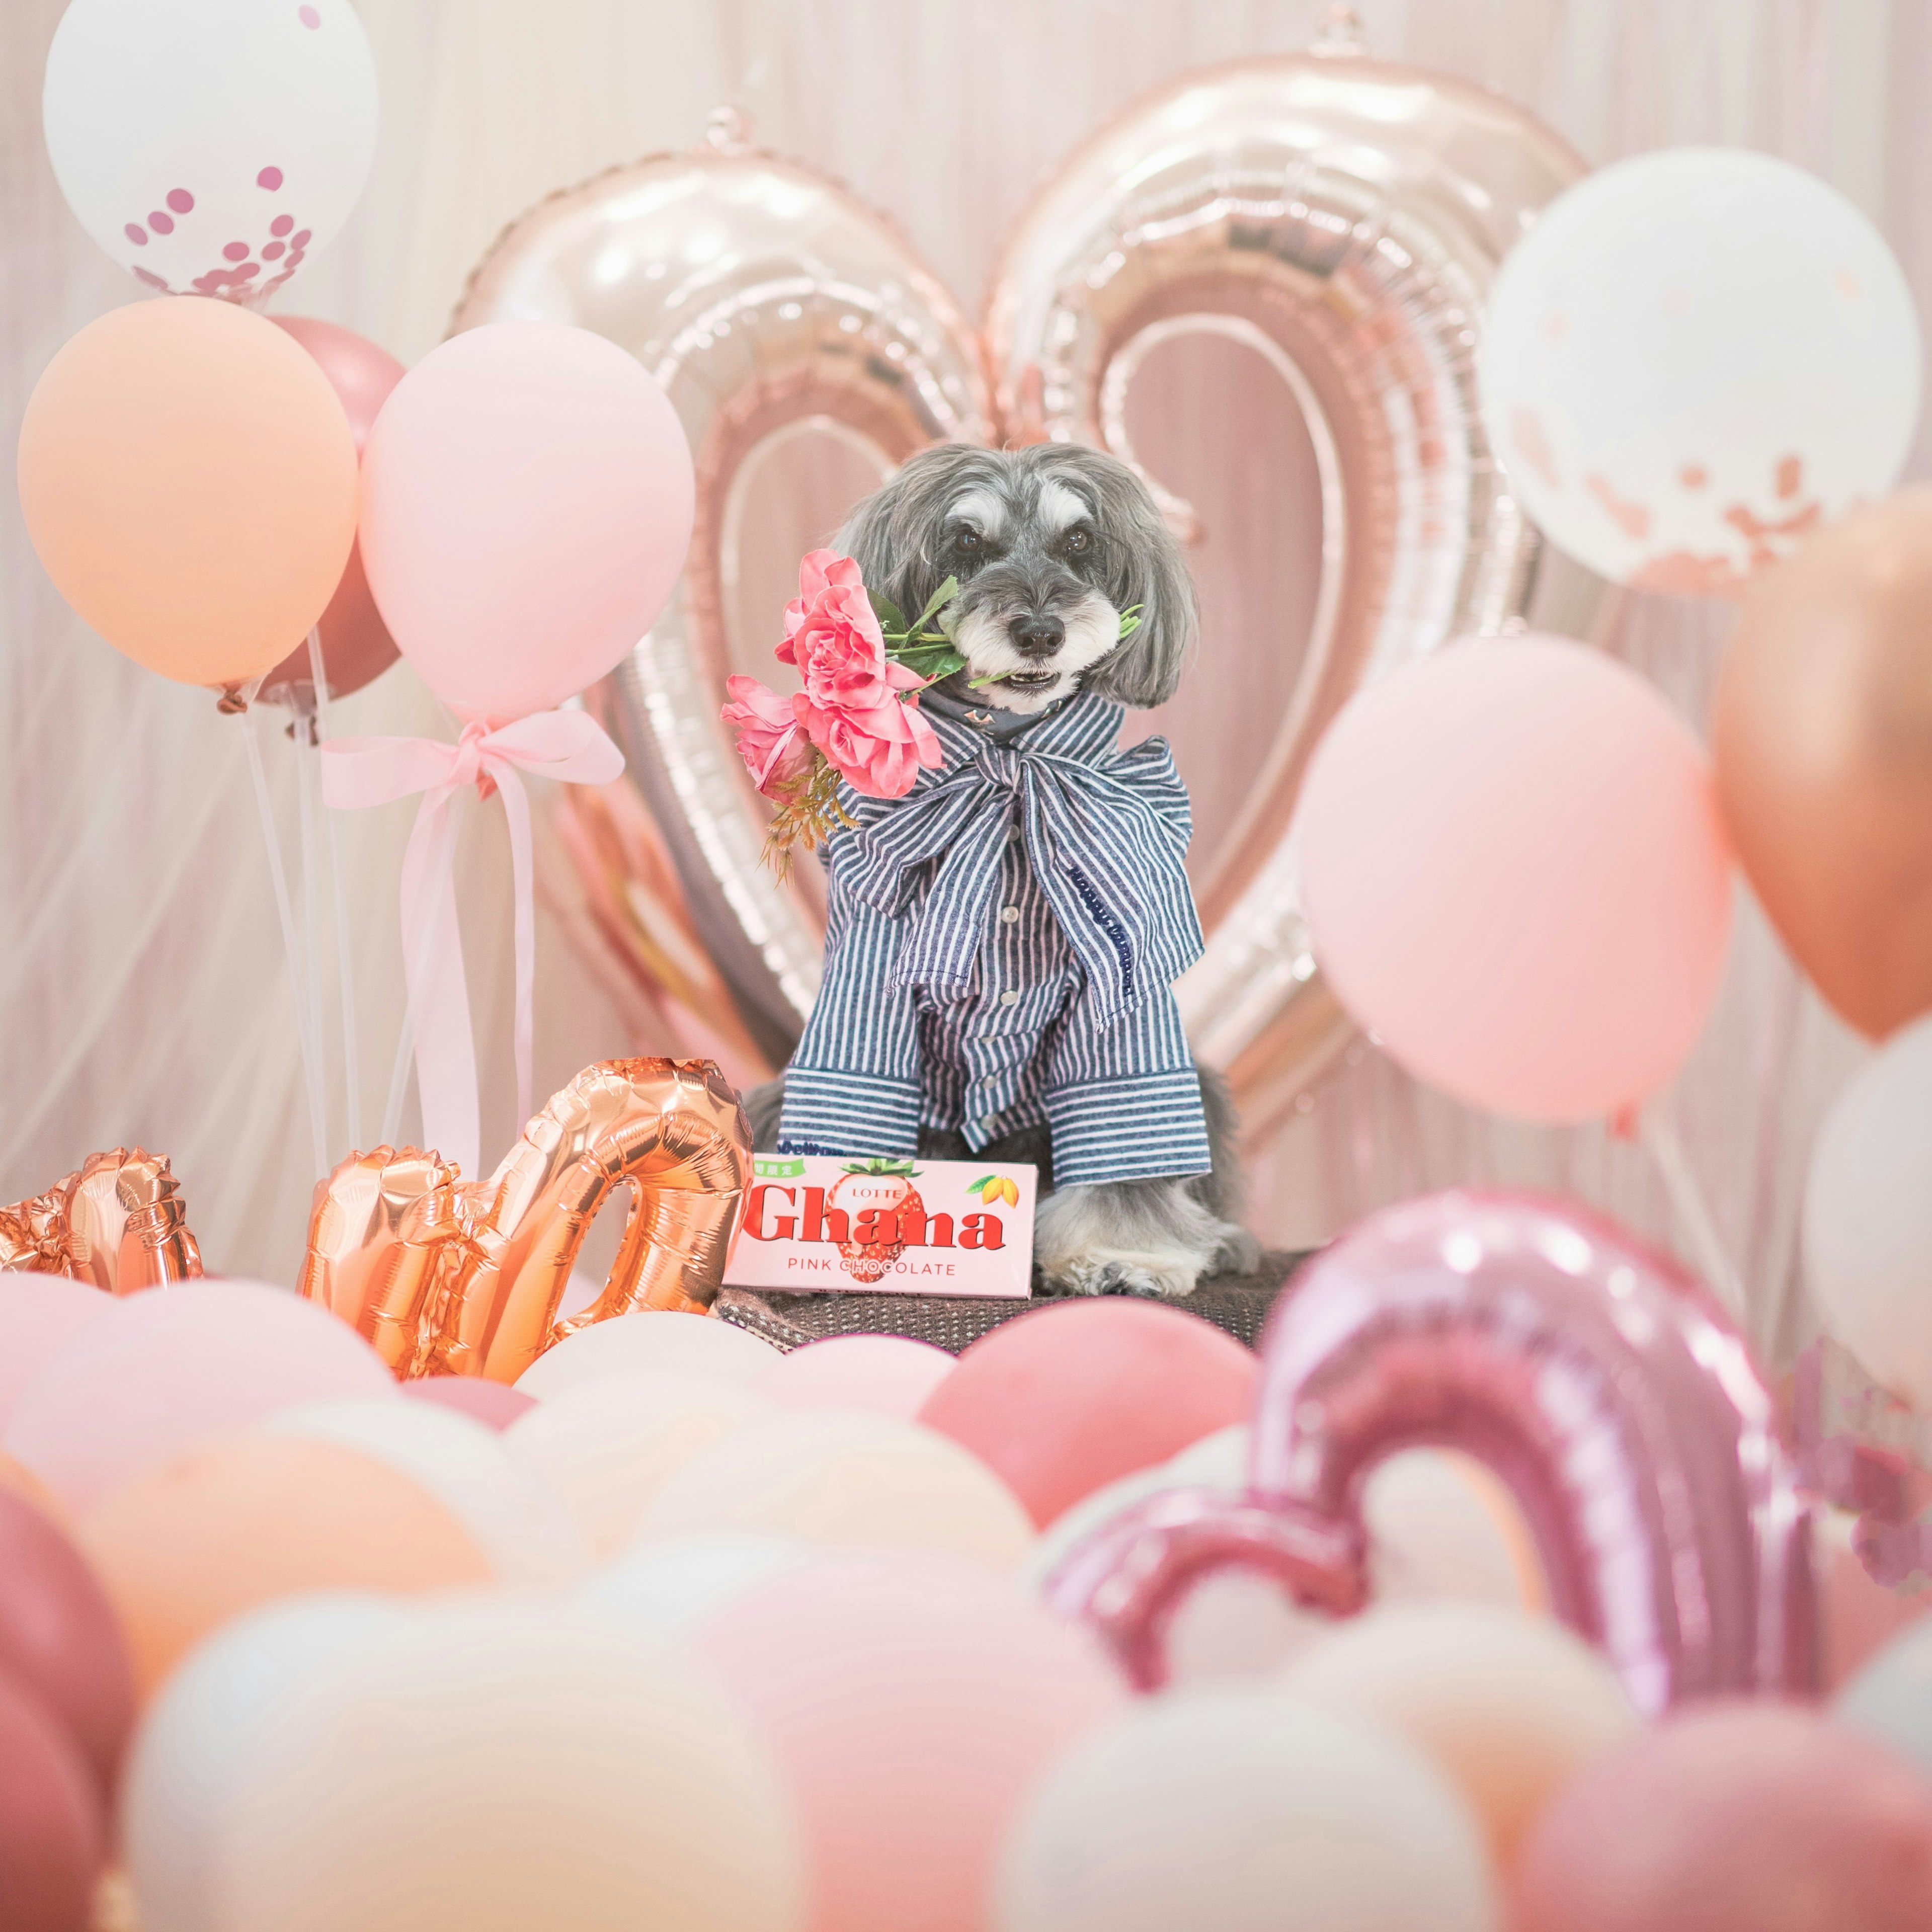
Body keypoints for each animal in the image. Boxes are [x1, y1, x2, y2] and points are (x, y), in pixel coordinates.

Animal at [746, 444, 1259, 1298]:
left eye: (1079, 541)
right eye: (964, 544)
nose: (1041, 631)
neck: (1012, 764)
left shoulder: (1122, 1002)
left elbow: (1127, 1140)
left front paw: (1127, 1253)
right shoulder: (868, 976)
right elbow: (851, 1097)